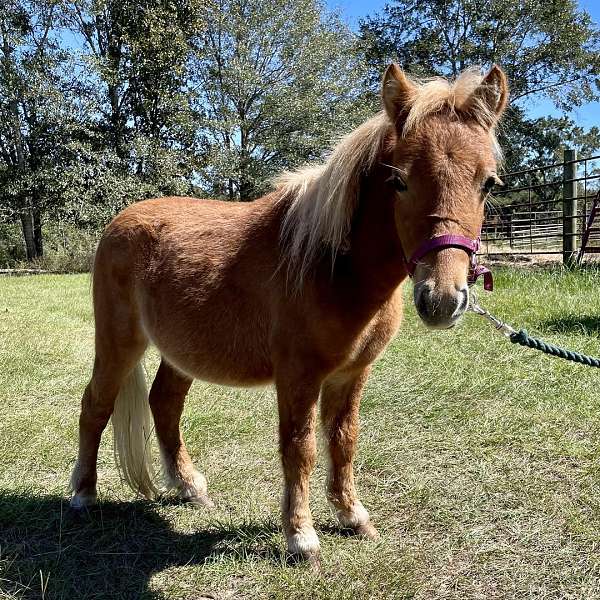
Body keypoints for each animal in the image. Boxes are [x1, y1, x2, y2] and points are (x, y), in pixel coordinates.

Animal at [70, 65, 506, 564]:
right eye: (399, 181)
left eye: (488, 183)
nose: (442, 299)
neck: (332, 266)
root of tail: (120, 222)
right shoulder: (298, 375)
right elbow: (300, 448)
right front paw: (302, 537)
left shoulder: (351, 374)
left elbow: (343, 440)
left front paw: (352, 516)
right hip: (118, 343)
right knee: (95, 405)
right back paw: (83, 495)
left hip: (180, 353)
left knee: (164, 403)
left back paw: (189, 487)